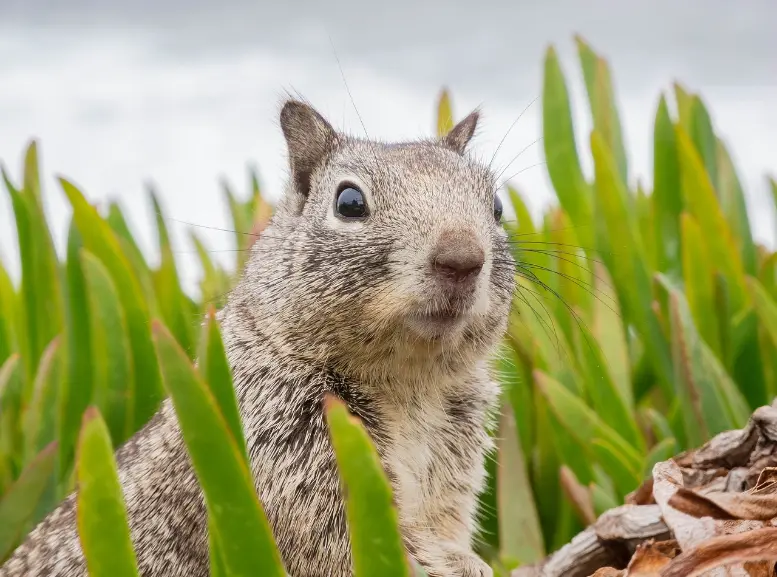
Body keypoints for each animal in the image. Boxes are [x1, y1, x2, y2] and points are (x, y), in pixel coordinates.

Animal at [4, 99, 520, 576]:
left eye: (496, 206)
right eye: (349, 202)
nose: (462, 258)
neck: (409, 382)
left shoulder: (455, 459)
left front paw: (467, 560)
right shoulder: (287, 453)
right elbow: (357, 546)